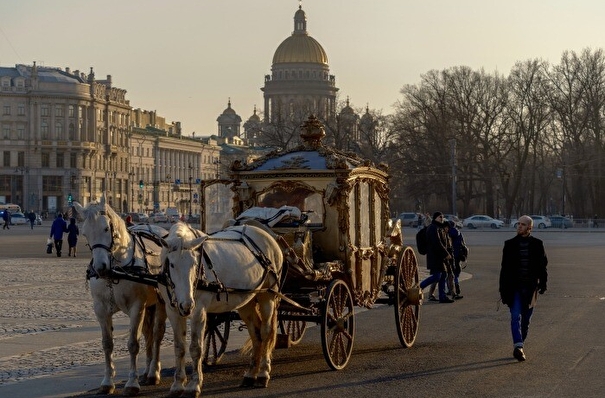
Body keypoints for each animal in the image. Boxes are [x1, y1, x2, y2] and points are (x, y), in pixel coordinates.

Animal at [74, 199, 168, 394]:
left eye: (106, 228)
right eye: (85, 233)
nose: (100, 267)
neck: (115, 270)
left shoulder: (136, 307)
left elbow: (133, 344)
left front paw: (132, 383)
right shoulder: (101, 309)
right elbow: (107, 344)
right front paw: (107, 382)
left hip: (161, 303)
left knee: (157, 334)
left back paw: (154, 372)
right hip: (149, 306)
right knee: (148, 333)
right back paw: (146, 372)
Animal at [159, 222, 284, 396]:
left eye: (194, 264)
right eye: (171, 264)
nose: (187, 305)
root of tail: (267, 235)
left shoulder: (199, 312)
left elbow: (196, 348)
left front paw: (194, 385)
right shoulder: (173, 312)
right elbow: (179, 348)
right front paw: (177, 384)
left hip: (268, 296)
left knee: (266, 332)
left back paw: (263, 373)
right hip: (246, 300)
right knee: (256, 334)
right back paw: (251, 374)